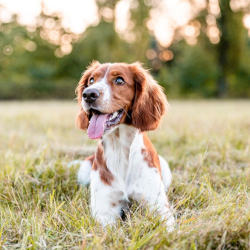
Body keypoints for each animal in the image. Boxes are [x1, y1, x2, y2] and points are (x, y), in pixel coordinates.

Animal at [75, 61, 175, 231]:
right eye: (91, 80)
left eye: (119, 80)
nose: (88, 94)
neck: (119, 148)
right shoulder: (105, 210)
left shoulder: (159, 206)